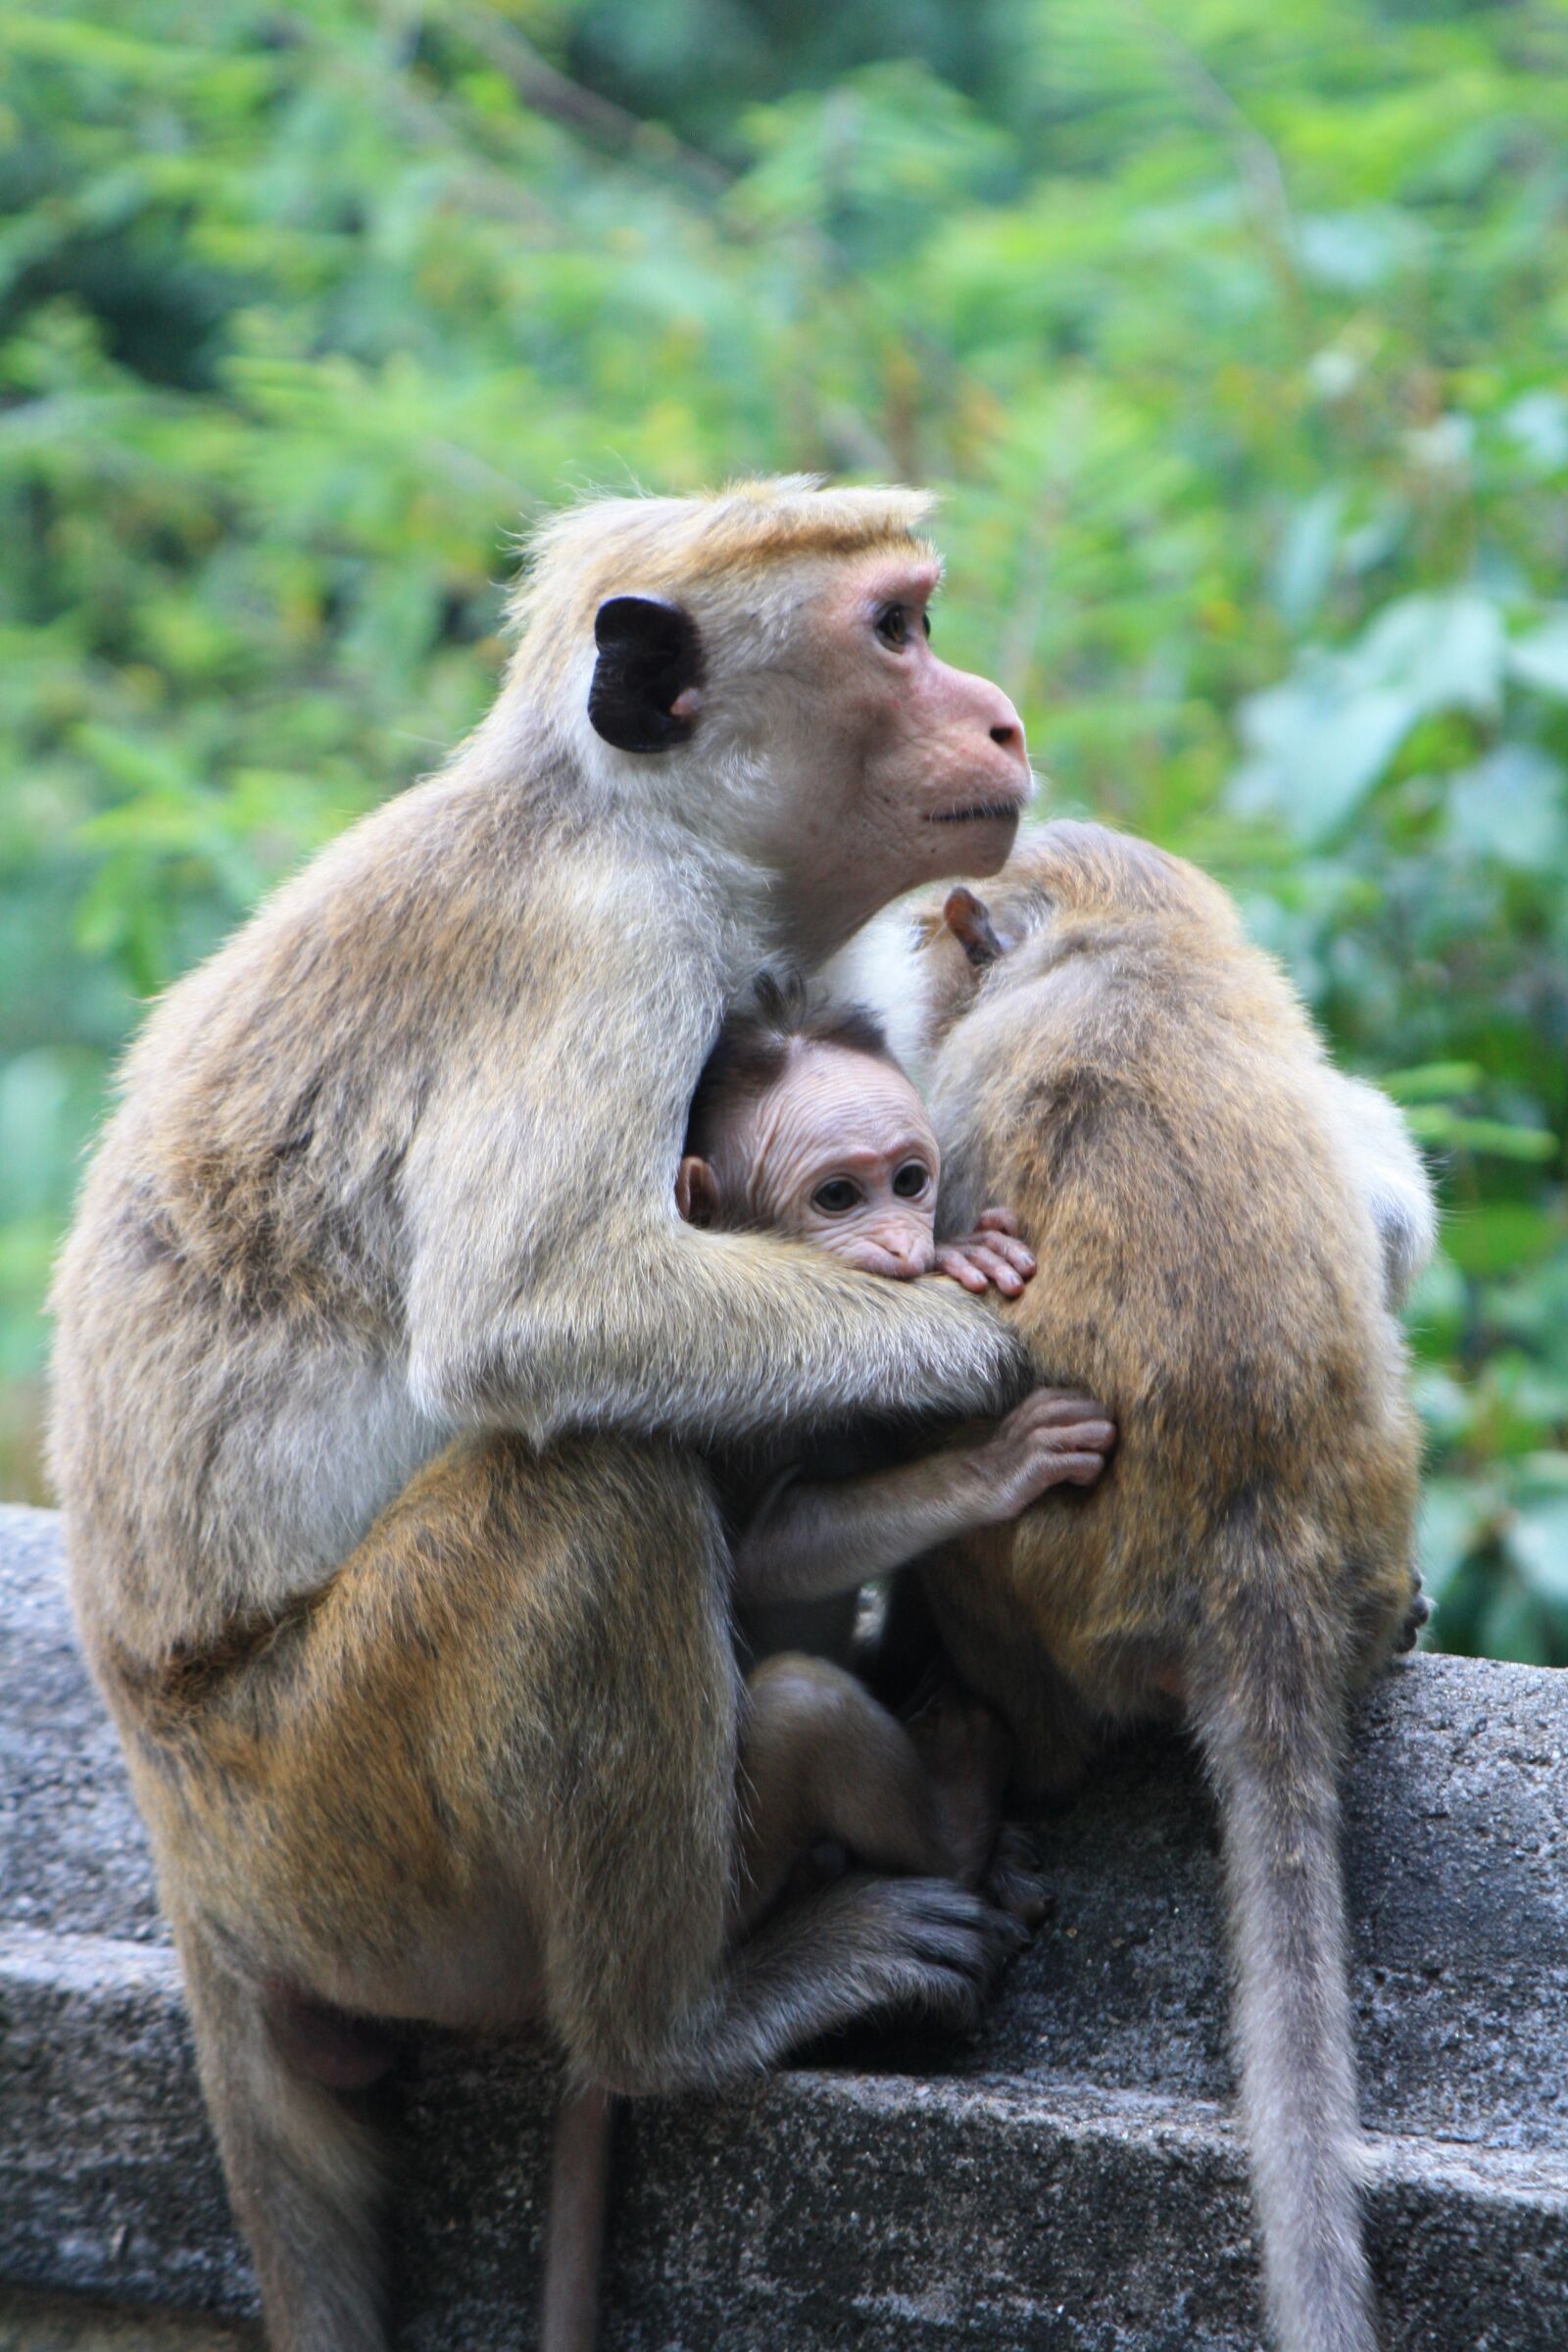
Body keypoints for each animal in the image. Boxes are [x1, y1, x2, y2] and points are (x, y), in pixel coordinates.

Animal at [48, 478, 1045, 2352]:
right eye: (896, 631)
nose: (1006, 717)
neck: (638, 823)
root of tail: (194, 1866)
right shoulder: (603, 951)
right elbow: (536, 1309)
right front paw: (971, 1357)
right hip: (341, 1833)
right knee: (597, 1494)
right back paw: (684, 2020)